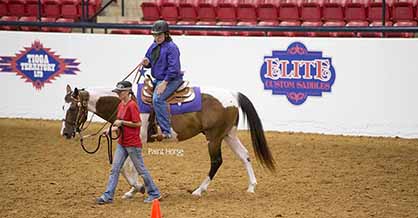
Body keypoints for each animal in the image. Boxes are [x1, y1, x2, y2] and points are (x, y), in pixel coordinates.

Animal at [60, 82, 276, 198]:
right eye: (63, 107)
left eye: (73, 108)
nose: (65, 133)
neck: (126, 103)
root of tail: (232, 95)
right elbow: (125, 166)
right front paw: (133, 190)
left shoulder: (137, 140)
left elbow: (129, 166)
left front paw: (138, 188)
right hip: (228, 135)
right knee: (245, 156)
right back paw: (251, 186)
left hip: (214, 137)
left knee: (217, 161)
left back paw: (199, 190)